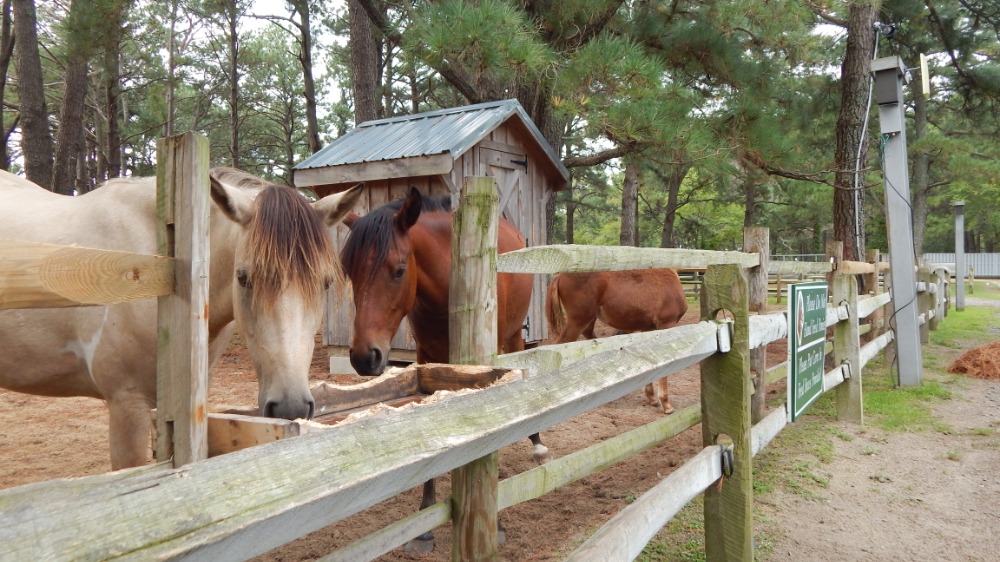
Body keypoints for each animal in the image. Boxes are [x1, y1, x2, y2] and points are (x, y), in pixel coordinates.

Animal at [340, 186, 536, 549]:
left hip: (514, 335)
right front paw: (425, 520)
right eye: (349, 271)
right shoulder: (426, 358)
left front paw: (496, 522)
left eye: (399, 269)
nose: (363, 356)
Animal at [546, 268, 689, 414]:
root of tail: (561, 275)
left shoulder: (649, 328)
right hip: (578, 321)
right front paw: (666, 404)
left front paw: (652, 398)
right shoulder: (667, 324)